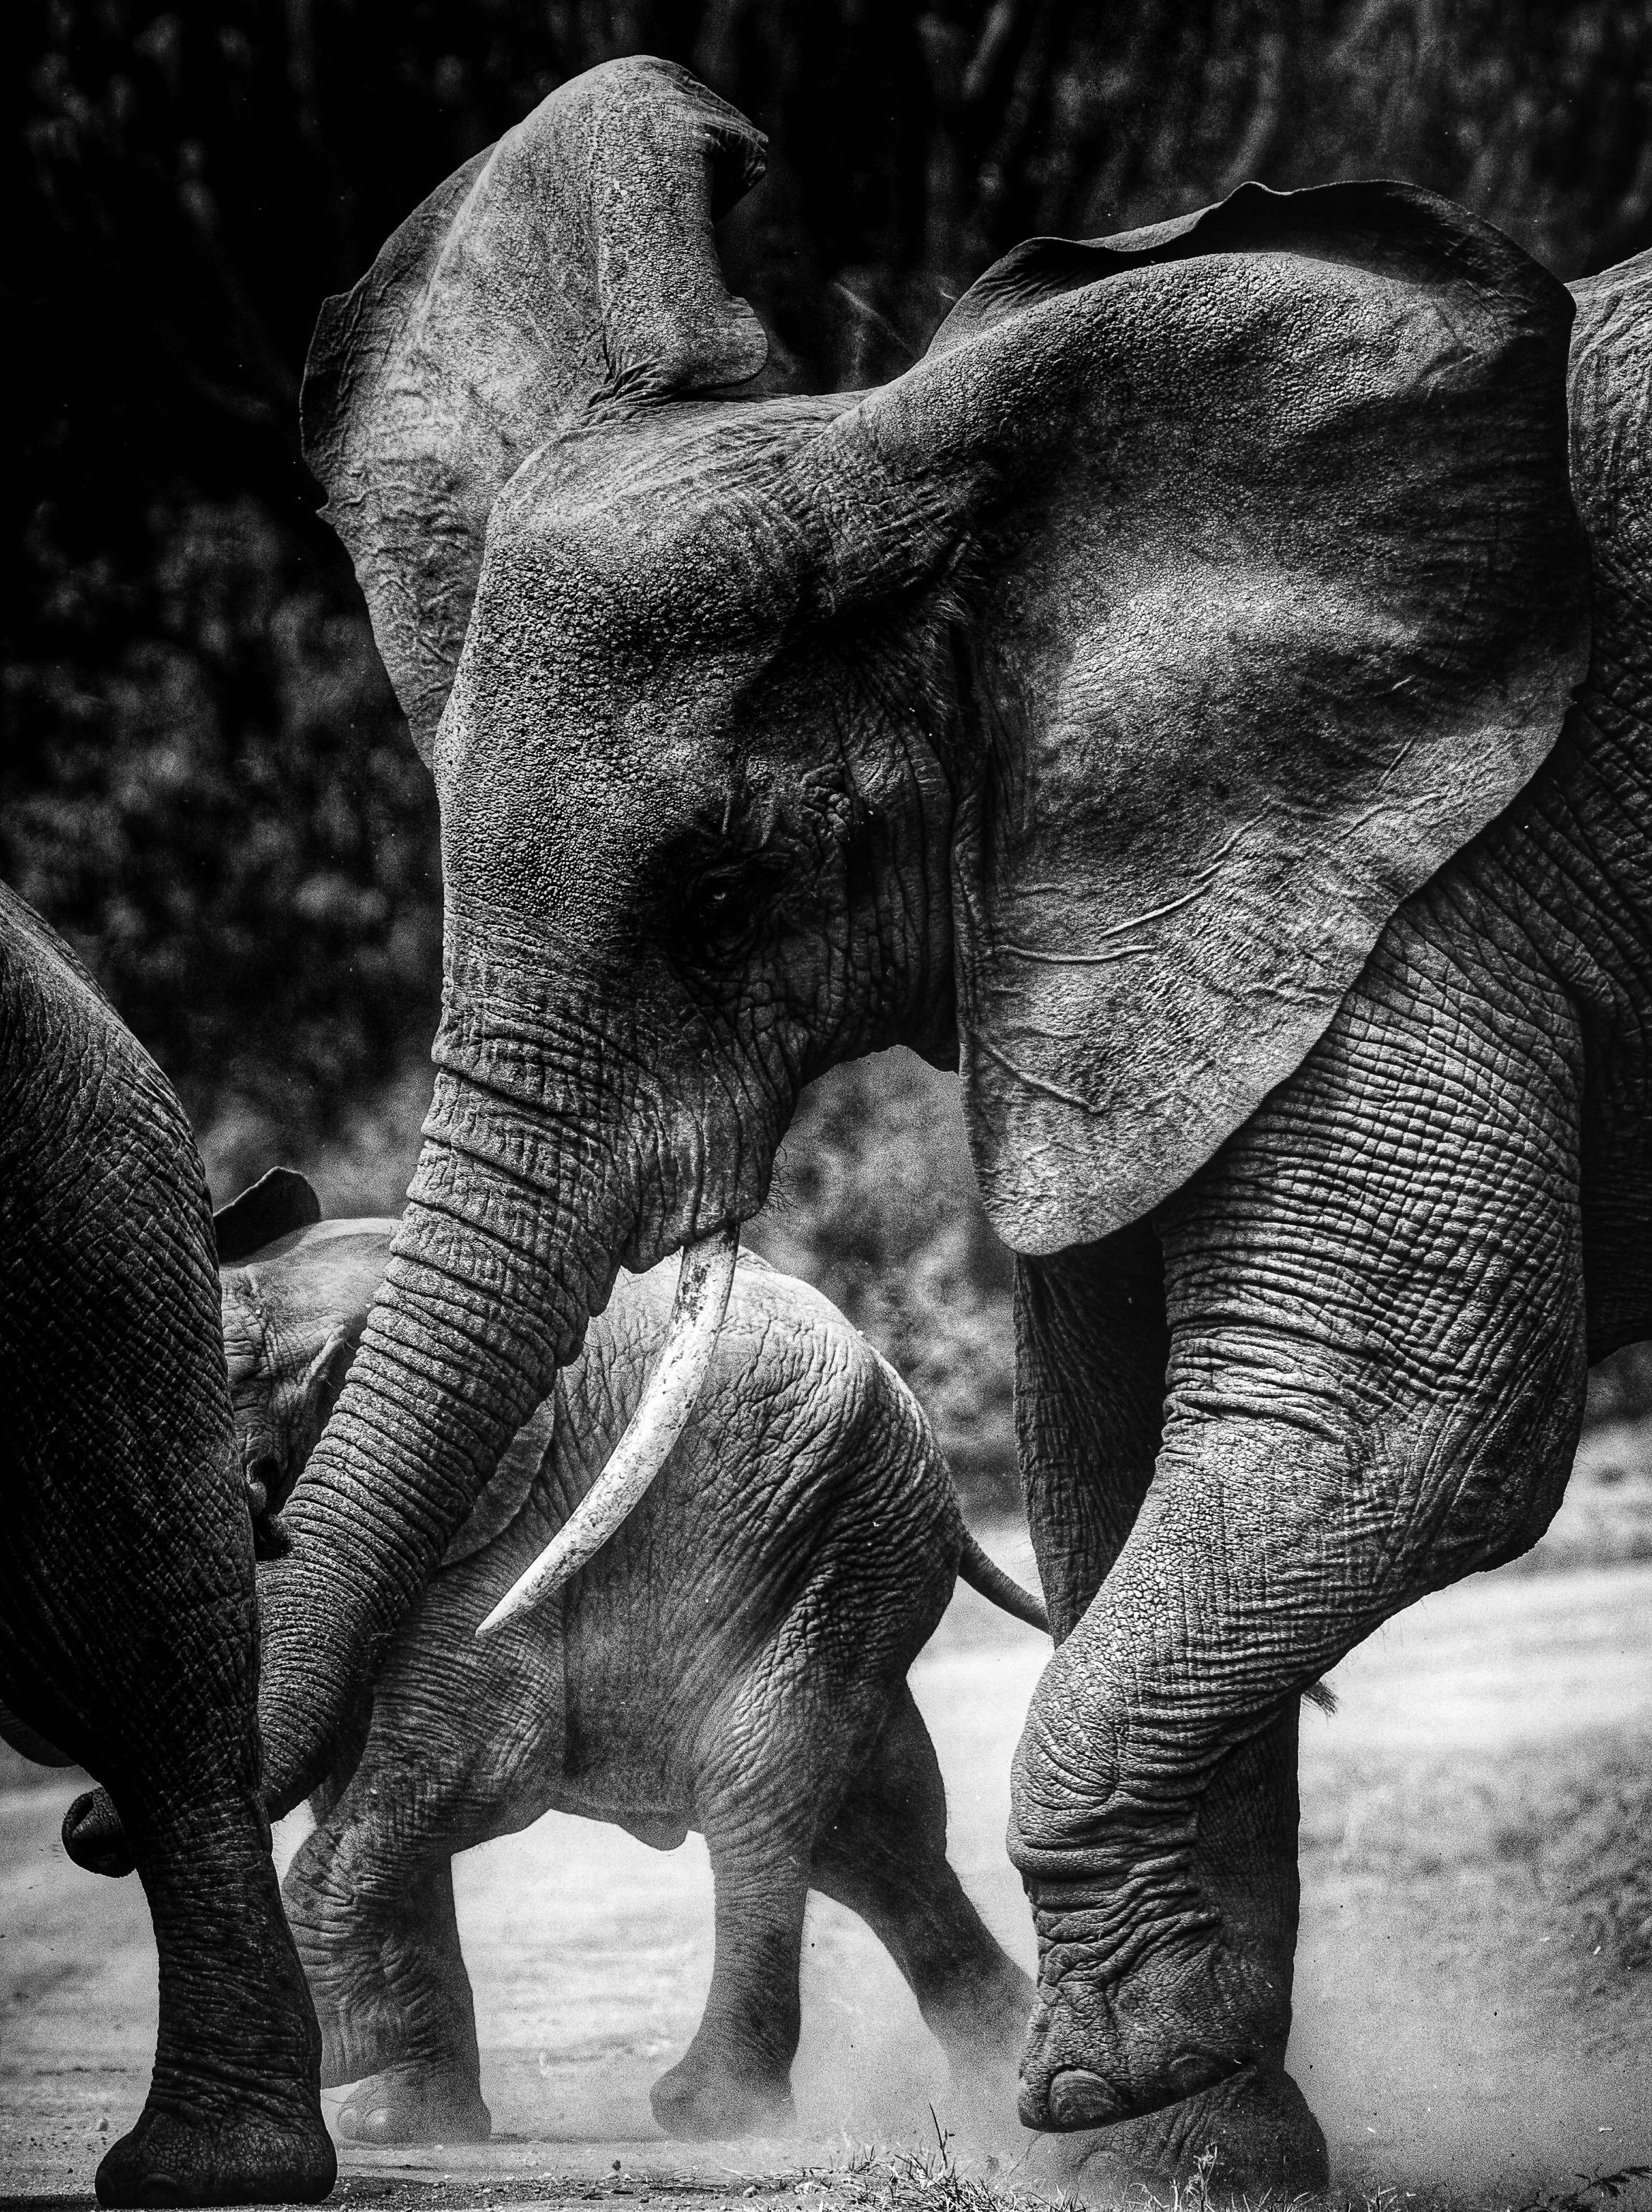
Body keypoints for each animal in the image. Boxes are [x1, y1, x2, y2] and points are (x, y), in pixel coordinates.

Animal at [215, 1171, 1046, 2148]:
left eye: (255, 1478)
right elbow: (361, 1777)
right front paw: (398, 2122)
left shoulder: (515, 1519)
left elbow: (477, 1759)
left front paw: (348, 2054)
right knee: (871, 1831)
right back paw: (1001, 2077)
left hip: (857, 1531)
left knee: (754, 1778)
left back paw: (714, 2112)